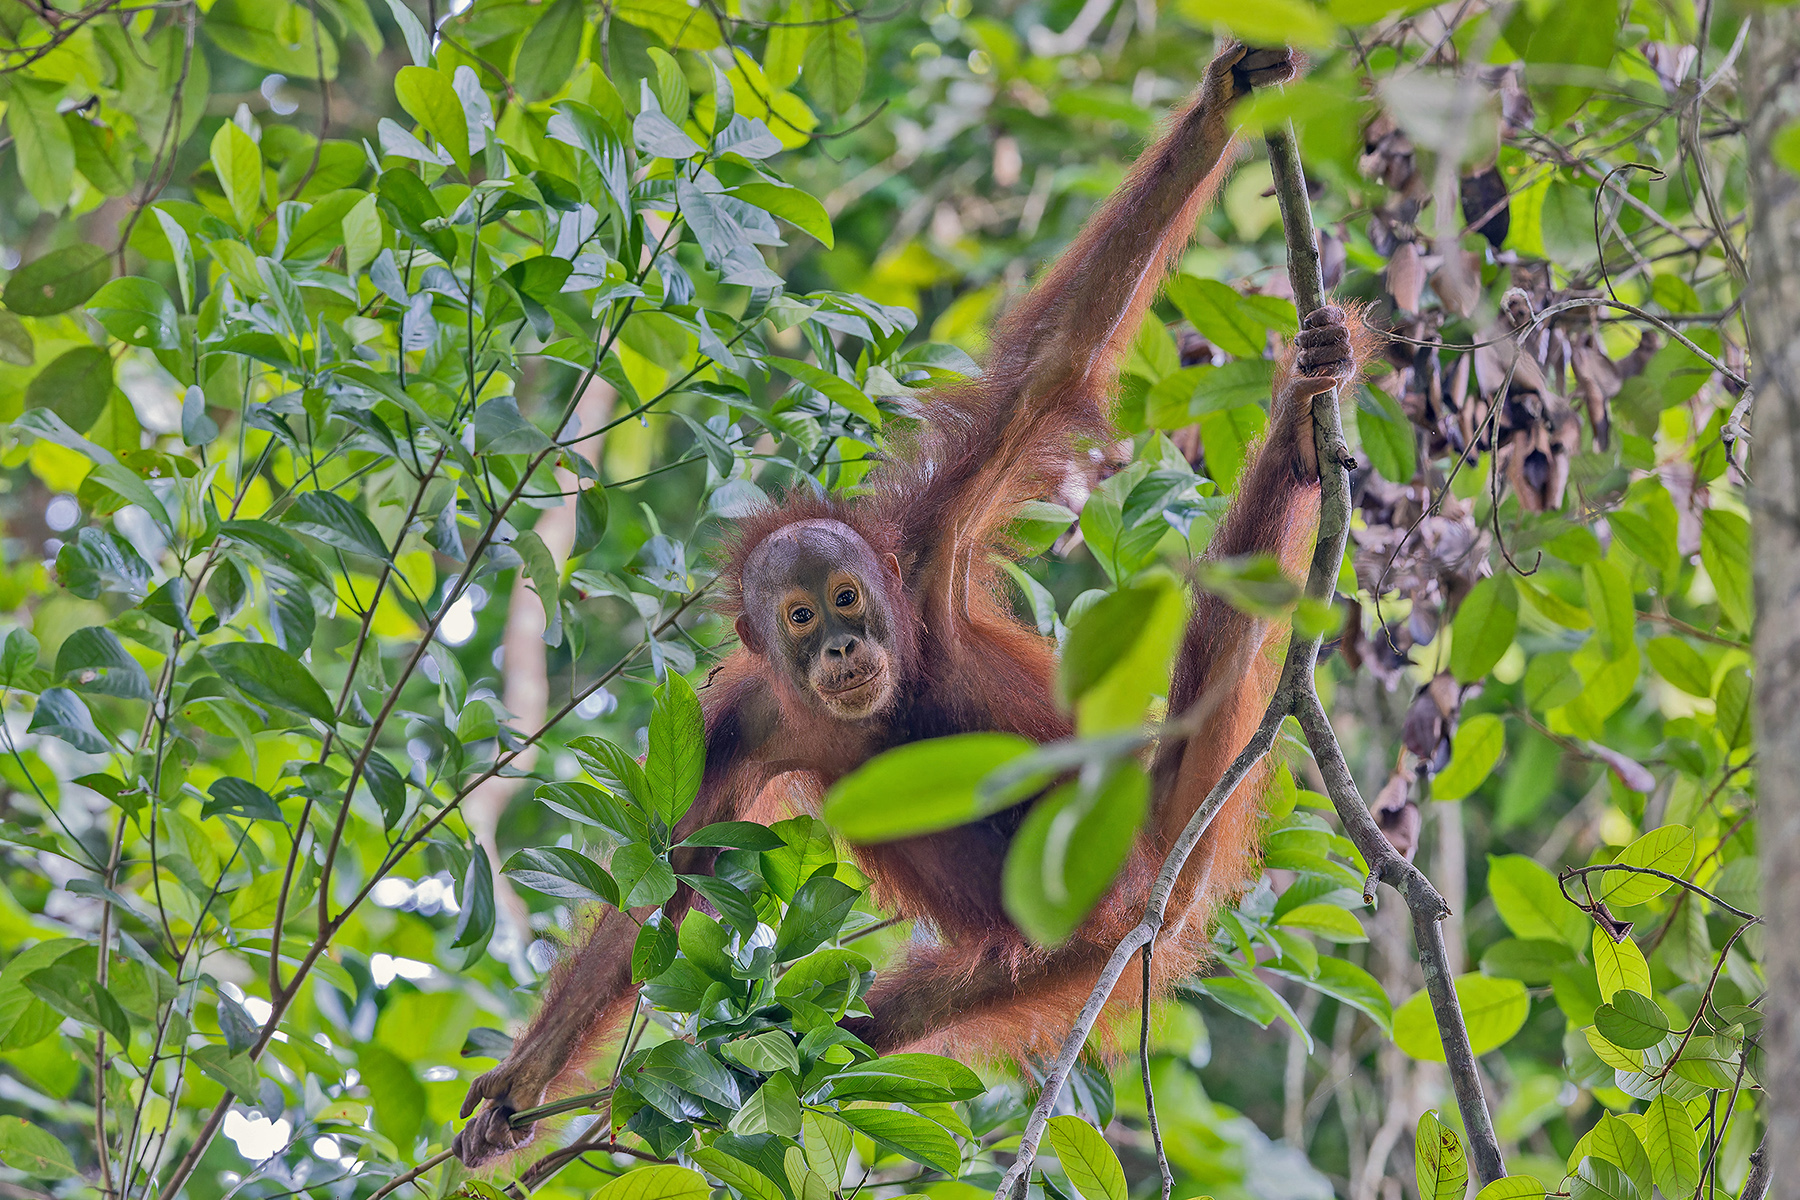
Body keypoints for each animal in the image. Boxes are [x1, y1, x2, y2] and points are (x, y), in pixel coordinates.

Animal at [453, 41, 1379, 1168]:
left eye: (850, 596)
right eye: (801, 619)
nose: (845, 648)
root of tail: (1151, 895)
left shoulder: (930, 550)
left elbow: (1057, 359)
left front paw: (1224, 99)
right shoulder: (739, 724)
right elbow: (660, 890)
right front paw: (516, 1090)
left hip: (1163, 828)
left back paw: (1295, 432)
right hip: (1043, 959)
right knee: (868, 1025)